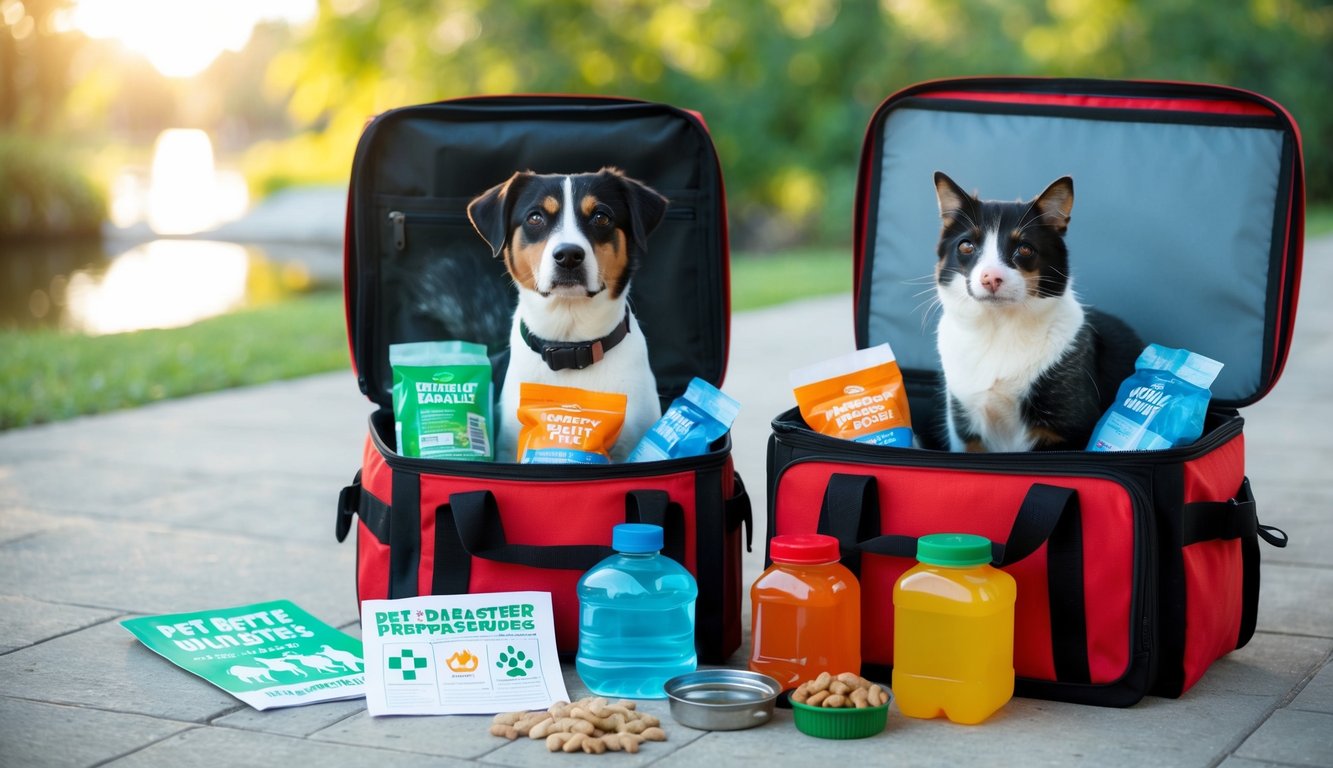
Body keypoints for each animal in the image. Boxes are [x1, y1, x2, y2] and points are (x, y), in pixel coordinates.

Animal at [927, 170, 1146, 453]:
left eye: (1025, 248)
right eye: (966, 246)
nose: (991, 278)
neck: (998, 327)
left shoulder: (1065, 431)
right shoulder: (966, 434)